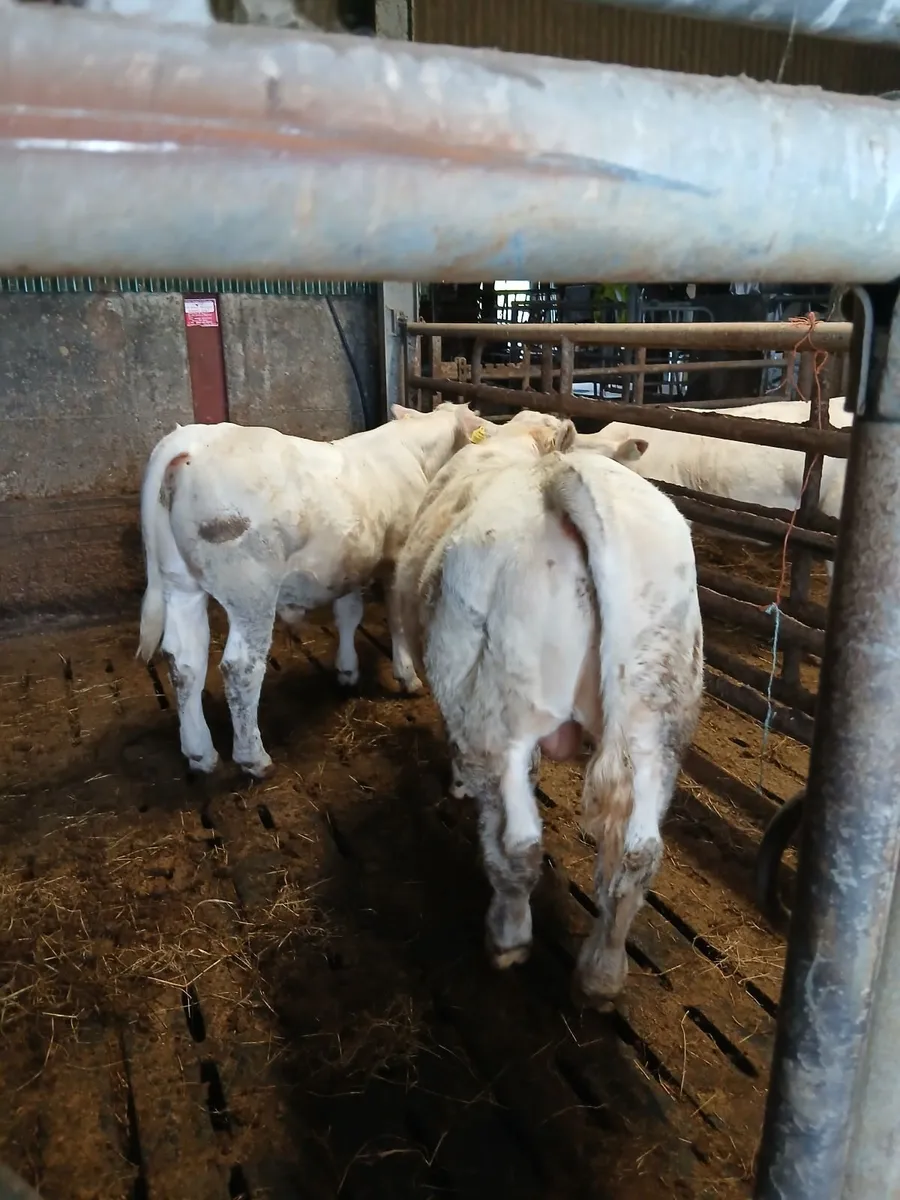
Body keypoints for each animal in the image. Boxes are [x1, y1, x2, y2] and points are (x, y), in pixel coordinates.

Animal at [136, 401, 489, 779]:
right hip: (250, 588)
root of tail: (188, 443)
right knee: (240, 667)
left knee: (184, 661)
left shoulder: (350, 561)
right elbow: (395, 619)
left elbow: (348, 613)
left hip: (179, 582)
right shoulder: (396, 558)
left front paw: (347, 671)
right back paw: (254, 758)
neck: (411, 453)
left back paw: (200, 753)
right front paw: (407, 677)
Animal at [394, 425, 702, 1003]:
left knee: (518, 845)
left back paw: (508, 937)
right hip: (658, 721)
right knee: (639, 853)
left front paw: (457, 785)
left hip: (502, 723)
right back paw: (602, 972)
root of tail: (562, 481)